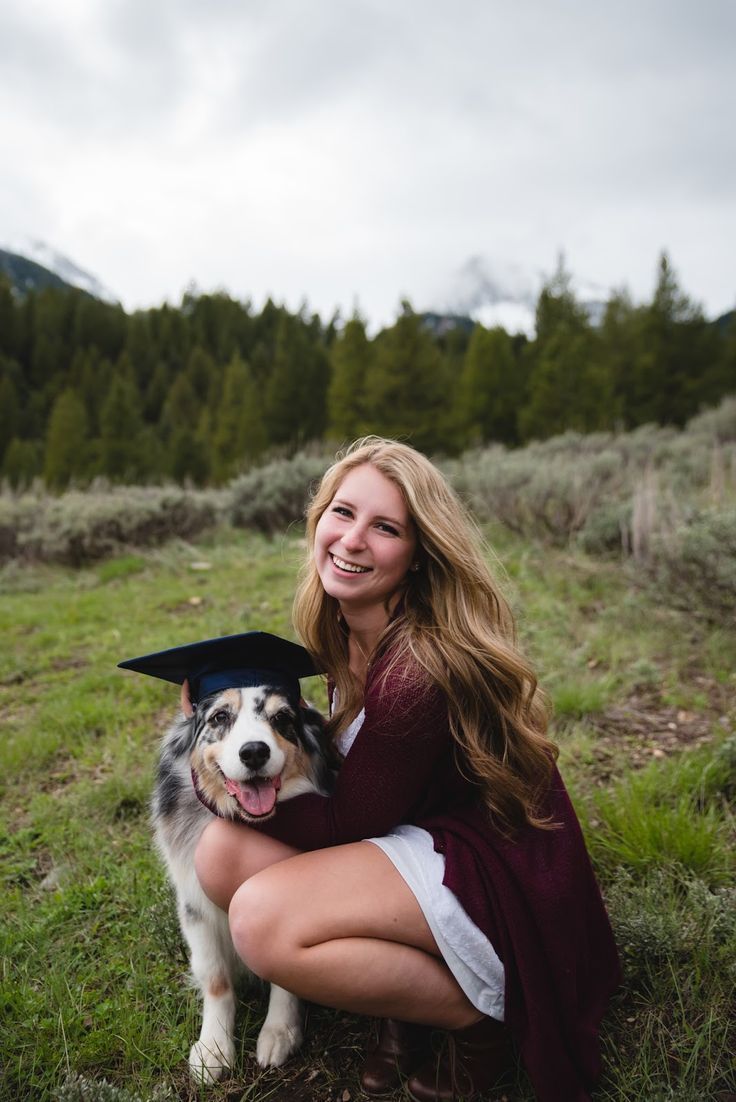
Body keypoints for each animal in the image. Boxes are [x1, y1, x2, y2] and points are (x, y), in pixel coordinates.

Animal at [155, 683, 332, 1079]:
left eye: (282, 717)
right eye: (220, 716)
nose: (254, 751)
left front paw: (280, 1031)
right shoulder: (194, 906)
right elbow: (215, 977)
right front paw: (213, 1047)